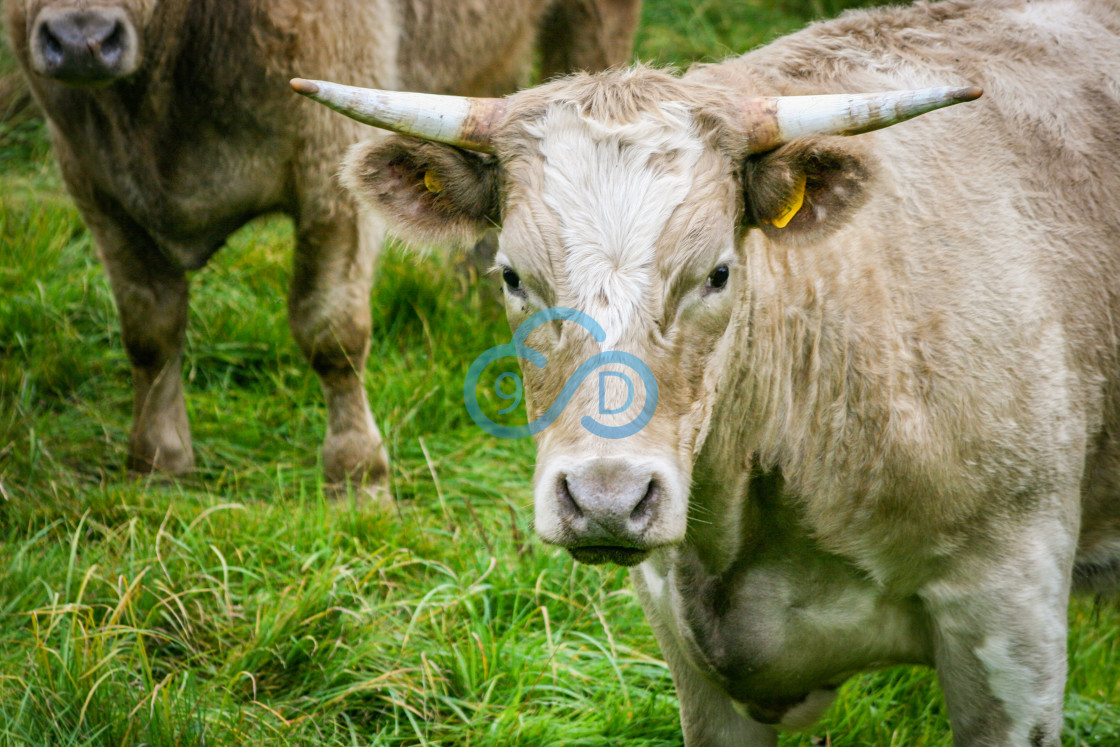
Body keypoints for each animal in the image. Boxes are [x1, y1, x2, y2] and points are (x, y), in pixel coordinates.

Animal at [2, 0, 640, 492]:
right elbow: (148, 330)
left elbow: (330, 332)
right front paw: (157, 460)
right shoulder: (94, 184)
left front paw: (356, 473)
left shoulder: (331, 184)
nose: (81, 40)